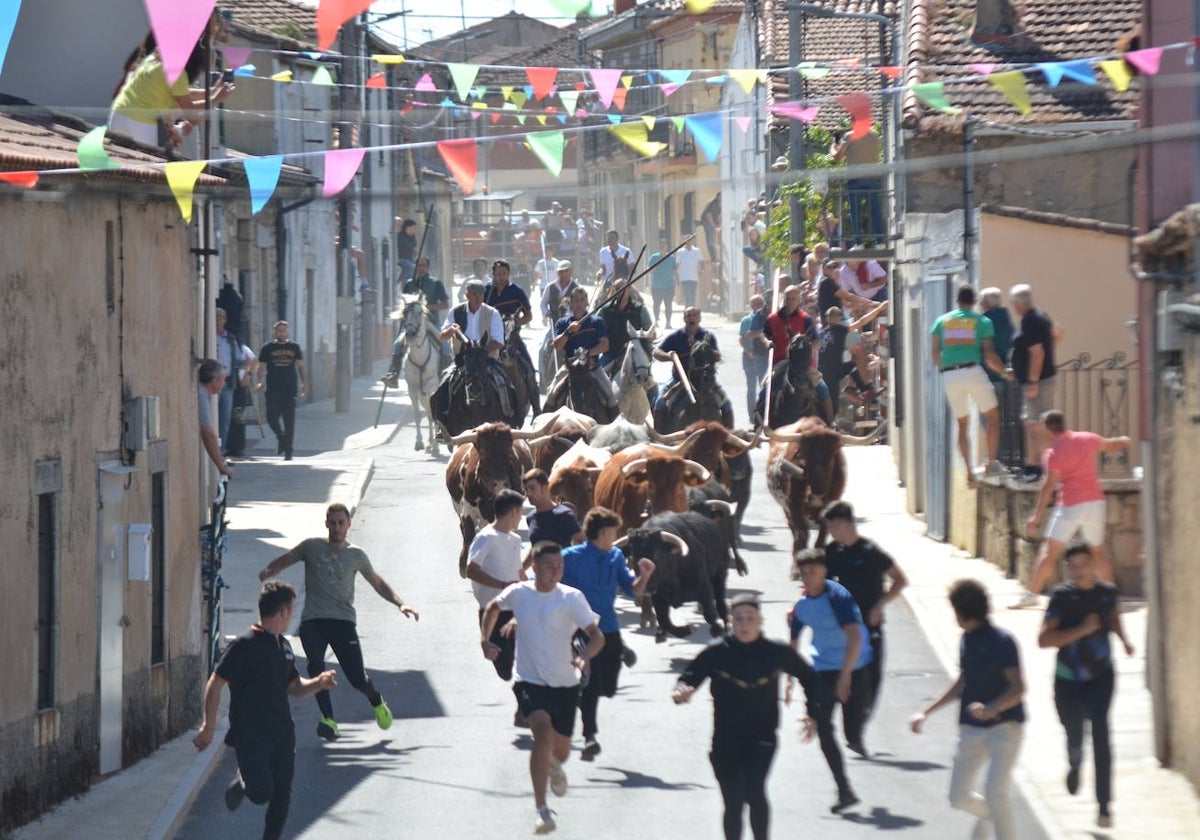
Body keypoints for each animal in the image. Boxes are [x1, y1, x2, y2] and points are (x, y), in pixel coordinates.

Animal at [396, 294, 444, 453]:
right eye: (404, 313)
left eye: (419, 313)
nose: (410, 334)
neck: (420, 355)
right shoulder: (412, 387)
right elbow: (418, 415)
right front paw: (420, 442)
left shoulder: (432, 383)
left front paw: (433, 443)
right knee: (428, 413)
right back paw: (431, 443)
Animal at [446, 422, 540, 573]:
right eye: (483, 456)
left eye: (509, 455)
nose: (500, 483)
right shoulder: (467, 509)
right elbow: (469, 534)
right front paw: (463, 565)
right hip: (457, 506)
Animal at [624, 508, 734, 638]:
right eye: (633, 555)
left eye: (657, 553)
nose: (645, 587)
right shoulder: (658, 599)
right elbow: (666, 623)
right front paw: (686, 630)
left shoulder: (704, 589)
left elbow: (710, 615)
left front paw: (717, 630)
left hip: (720, 574)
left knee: (721, 603)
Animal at [763, 417, 888, 568]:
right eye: (806, 452)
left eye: (834, 452)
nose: (818, 489)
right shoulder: (793, 504)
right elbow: (801, 535)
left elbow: (822, 537)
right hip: (786, 508)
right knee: (795, 530)